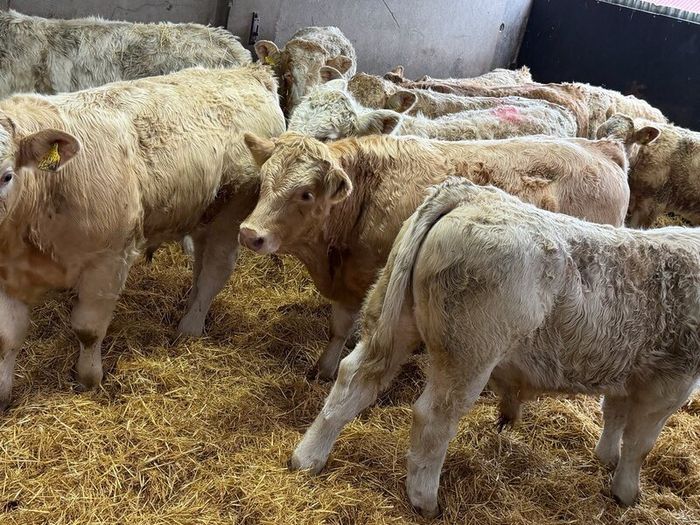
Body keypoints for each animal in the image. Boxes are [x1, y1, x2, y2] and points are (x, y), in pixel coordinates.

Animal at [0, 65, 285, 409]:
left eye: (6, 175)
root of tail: (250, 72)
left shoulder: (108, 263)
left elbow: (88, 330)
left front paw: (89, 380)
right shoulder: (7, 274)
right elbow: (8, 336)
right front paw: (2, 394)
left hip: (230, 216)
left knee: (216, 270)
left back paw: (189, 329)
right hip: (203, 215)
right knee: (201, 265)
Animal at [238, 132, 630, 380]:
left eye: (305, 193)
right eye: (263, 181)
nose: (249, 233)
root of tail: (599, 147)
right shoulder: (347, 280)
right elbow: (338, 329)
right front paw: (322, 369)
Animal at [289, 178, 700, 518]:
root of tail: (471, 194)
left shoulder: (629, 375)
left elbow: (613, 417)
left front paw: (606, 459)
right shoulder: (669, 385)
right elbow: (639, 444)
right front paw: (627, 493)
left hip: (390, 321)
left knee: (354, 379)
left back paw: (307, 459)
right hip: (468, 357)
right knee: (432, 417)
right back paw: (425, 500)